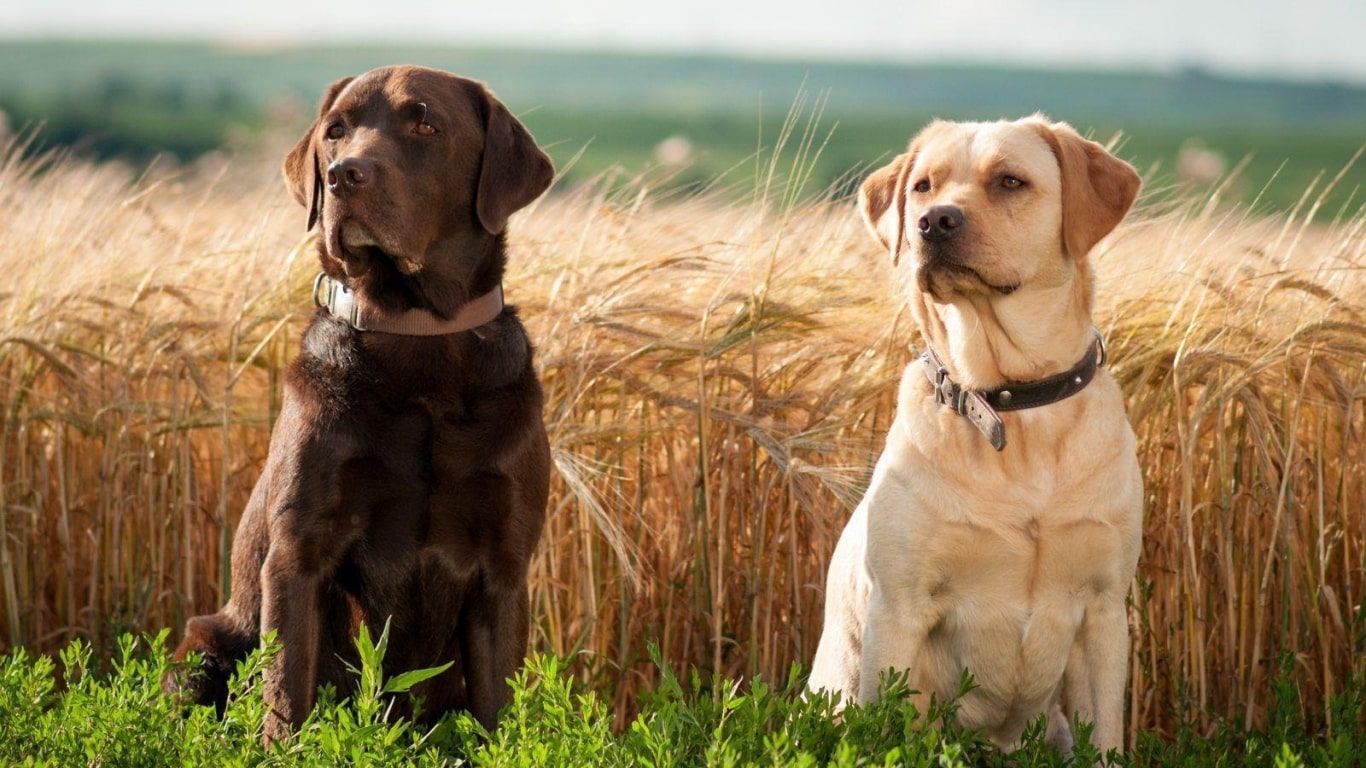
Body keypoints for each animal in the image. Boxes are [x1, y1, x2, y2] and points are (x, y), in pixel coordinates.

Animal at [170, 65, 554, 737]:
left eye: (426, 124)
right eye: (335, 131)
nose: (342, 175)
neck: (418, 336)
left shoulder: (505, 568)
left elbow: (496, 715)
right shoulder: (298, 554)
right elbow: (286, 697)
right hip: (203, 646)